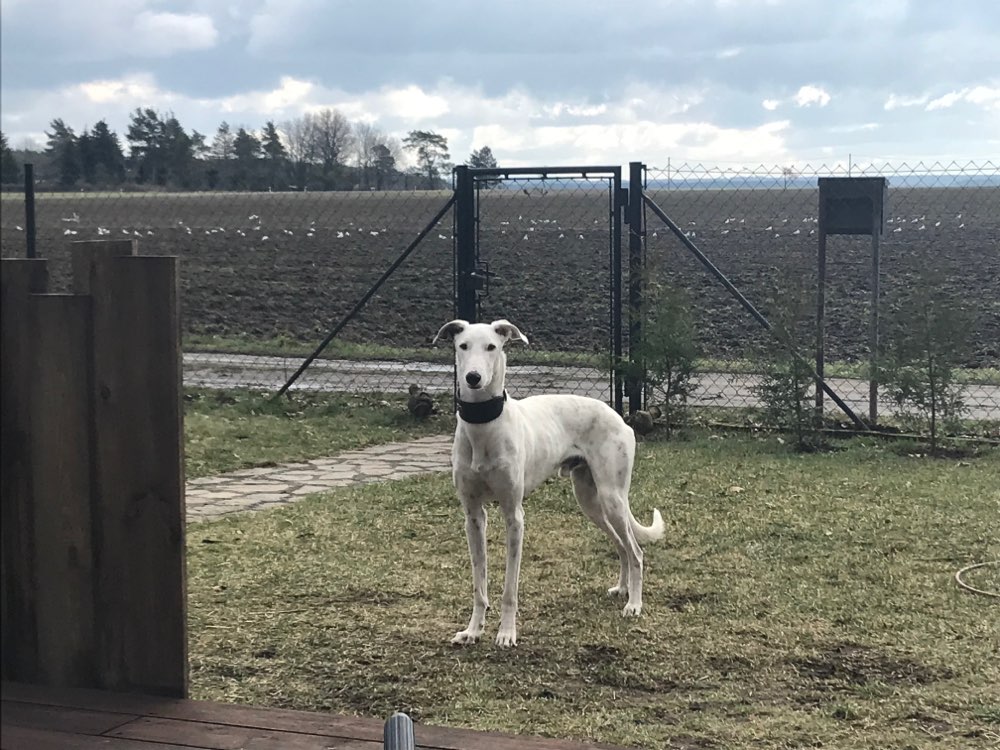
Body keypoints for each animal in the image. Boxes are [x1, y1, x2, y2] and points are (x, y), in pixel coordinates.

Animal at [436, 318, 664, 648]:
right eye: (462, 346)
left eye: (492, 347)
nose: (473, 378)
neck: (484, 425)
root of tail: (620, 417)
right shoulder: (473, 517)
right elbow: (479, 584)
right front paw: (473, 630)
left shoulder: (514, 516)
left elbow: (510, 589)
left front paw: (506, 633)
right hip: (590, 500)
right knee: (622, 545)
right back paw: (622, 590)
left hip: (613, 498)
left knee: (636, 551)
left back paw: (634, 604)